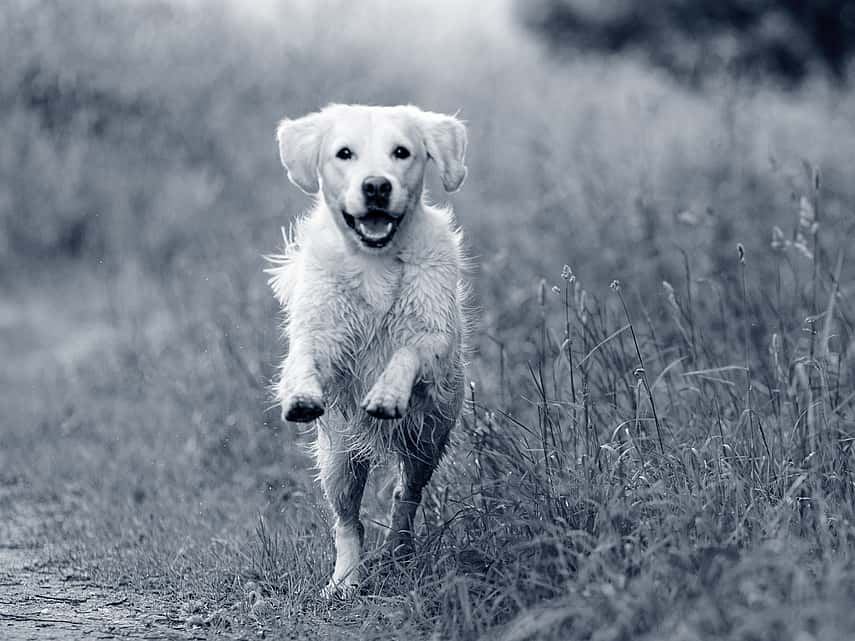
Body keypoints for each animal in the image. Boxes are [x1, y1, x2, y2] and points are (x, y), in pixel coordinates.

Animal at [266, 102, 468, 596]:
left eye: (402, 152)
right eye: (345, 153)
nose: (376, 186)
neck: (375, 260)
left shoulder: (432, 338)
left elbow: (408, 352)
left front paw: (387, 394)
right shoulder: (321, 332)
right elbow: (304, 356)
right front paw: (300, 395)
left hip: (427, 439)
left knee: (406, 497)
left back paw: (398, 550)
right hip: (338, 458)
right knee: (348, 521)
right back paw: (344, 581)